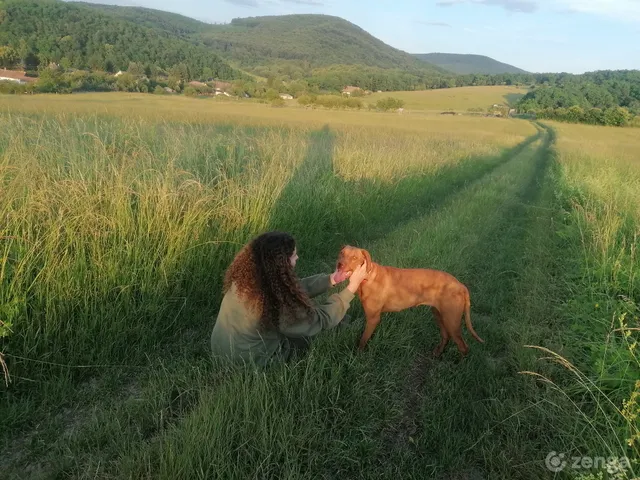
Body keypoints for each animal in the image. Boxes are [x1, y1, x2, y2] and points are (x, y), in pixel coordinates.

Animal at [338, 248, 482, 356]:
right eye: (342, 253)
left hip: (451, 322)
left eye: (354, 258)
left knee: (463, 347)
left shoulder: (373, 319)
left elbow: (362, 341)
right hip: (439, 316)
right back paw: (438, 353)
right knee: (445, 337)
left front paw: (357, 357)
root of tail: (460, 285)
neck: (367, 277)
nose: (339, 265)